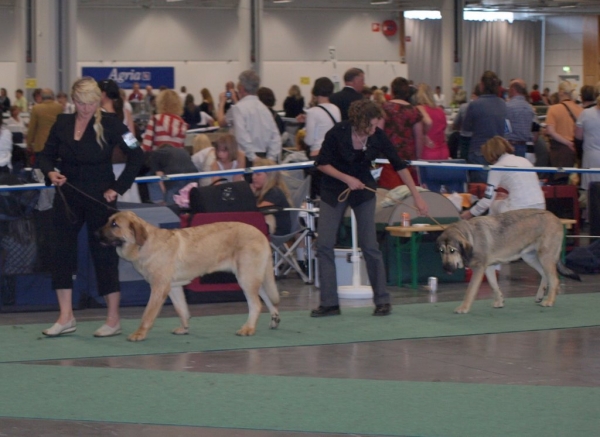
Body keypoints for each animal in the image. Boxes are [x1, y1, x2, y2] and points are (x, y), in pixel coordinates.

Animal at [97, 210, 280, 340]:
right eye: (107, 221)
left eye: (114, 224)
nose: (95, 233)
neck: (144, 244)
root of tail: (261, 234)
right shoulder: (173, 287)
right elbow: (182, 309)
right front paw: (184, 328)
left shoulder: (158, 287)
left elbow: (147, 314)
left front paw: (139, 334)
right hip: (255, 278)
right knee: (268, 300)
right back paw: (274, 319)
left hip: (246, 278)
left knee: (256, 305)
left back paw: (248, 328)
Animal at [436, 209, 580, 314]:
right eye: (441, 251)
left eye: (453, 250)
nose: (445, 268)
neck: (471, 237)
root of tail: (556, 218)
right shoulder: (488, 268)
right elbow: (494, 286)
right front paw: (499, 302)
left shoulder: (479, 269)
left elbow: (470, 291)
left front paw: (464, 308)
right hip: (530, 257)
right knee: (545, 275)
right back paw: (541, 295)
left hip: (545, 257)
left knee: (554, 279)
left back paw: (549, 301)